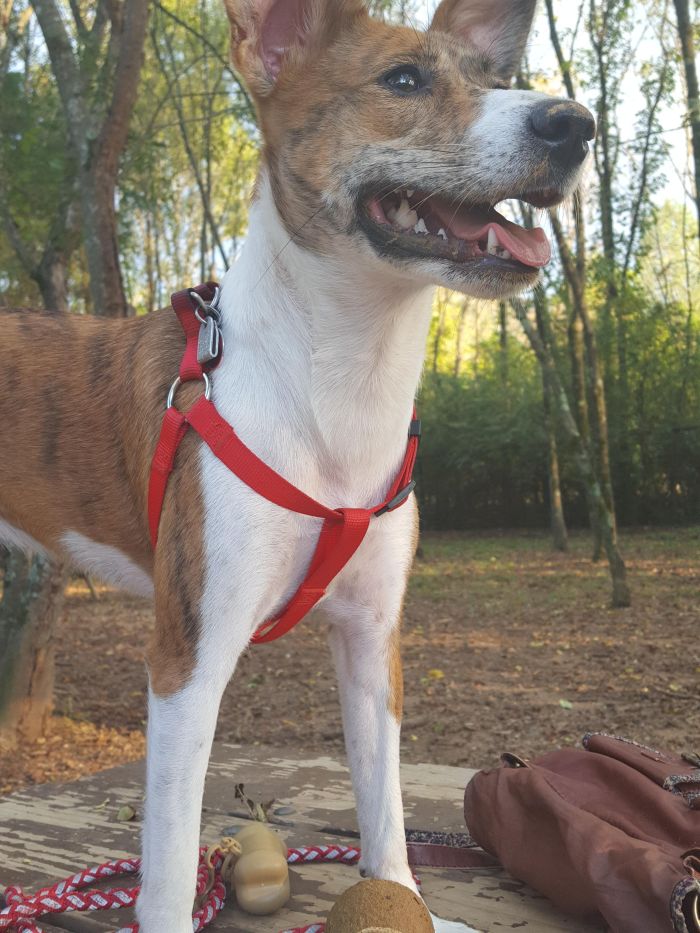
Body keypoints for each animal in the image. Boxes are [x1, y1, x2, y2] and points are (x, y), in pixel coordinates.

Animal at [0, 0, 596, 924]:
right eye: (403, 79)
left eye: (495, 79)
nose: (575, 125)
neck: (339, 390)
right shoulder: (187, 659)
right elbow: (168, 866)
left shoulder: (373, 638)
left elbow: (382, 807)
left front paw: (406, 900)